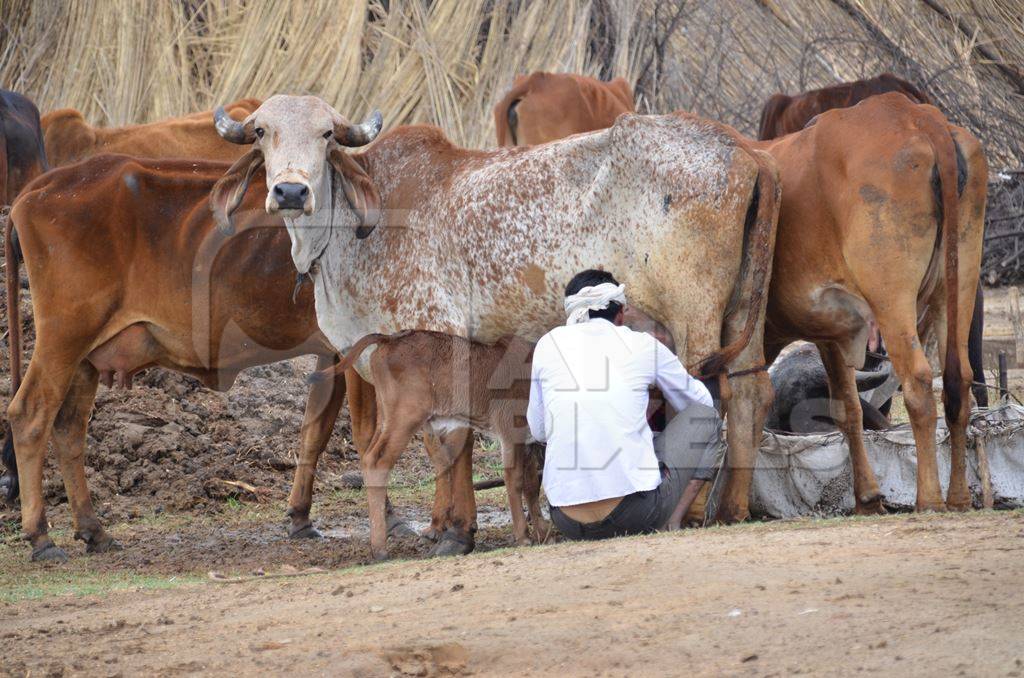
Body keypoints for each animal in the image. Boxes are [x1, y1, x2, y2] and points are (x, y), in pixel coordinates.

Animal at [315, 331, 548, 561]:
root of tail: (389, 338)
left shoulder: (528, 441)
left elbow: (532, 485)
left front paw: (542, 532)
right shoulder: (511, 432)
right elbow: (515, 481)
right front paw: (523, 536)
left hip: (386, 416)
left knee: (368, 456)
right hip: (405, 418)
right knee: (377, 462)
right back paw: (380, 549)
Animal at [757, 94, 987, 516]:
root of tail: (917, 116)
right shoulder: (831, 333)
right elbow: (847, 409)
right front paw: (867, 496)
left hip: (891, 300)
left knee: (918, 382)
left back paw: (929, 498)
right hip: (958, 284)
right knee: (957, 381)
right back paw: (959, 496)